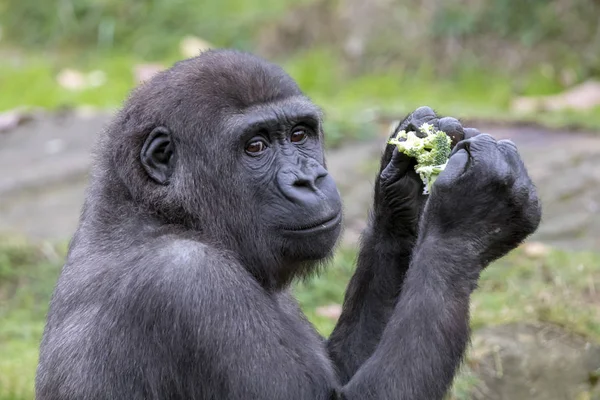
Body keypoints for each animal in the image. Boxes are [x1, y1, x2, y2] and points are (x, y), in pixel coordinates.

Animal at [35, 50, 540, 400]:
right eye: (256, 146)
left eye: (299, 135)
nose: (309, 179)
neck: (161, 213)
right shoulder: (188, 282)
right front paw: (474, 213)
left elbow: (343, 368)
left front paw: (403, 188)